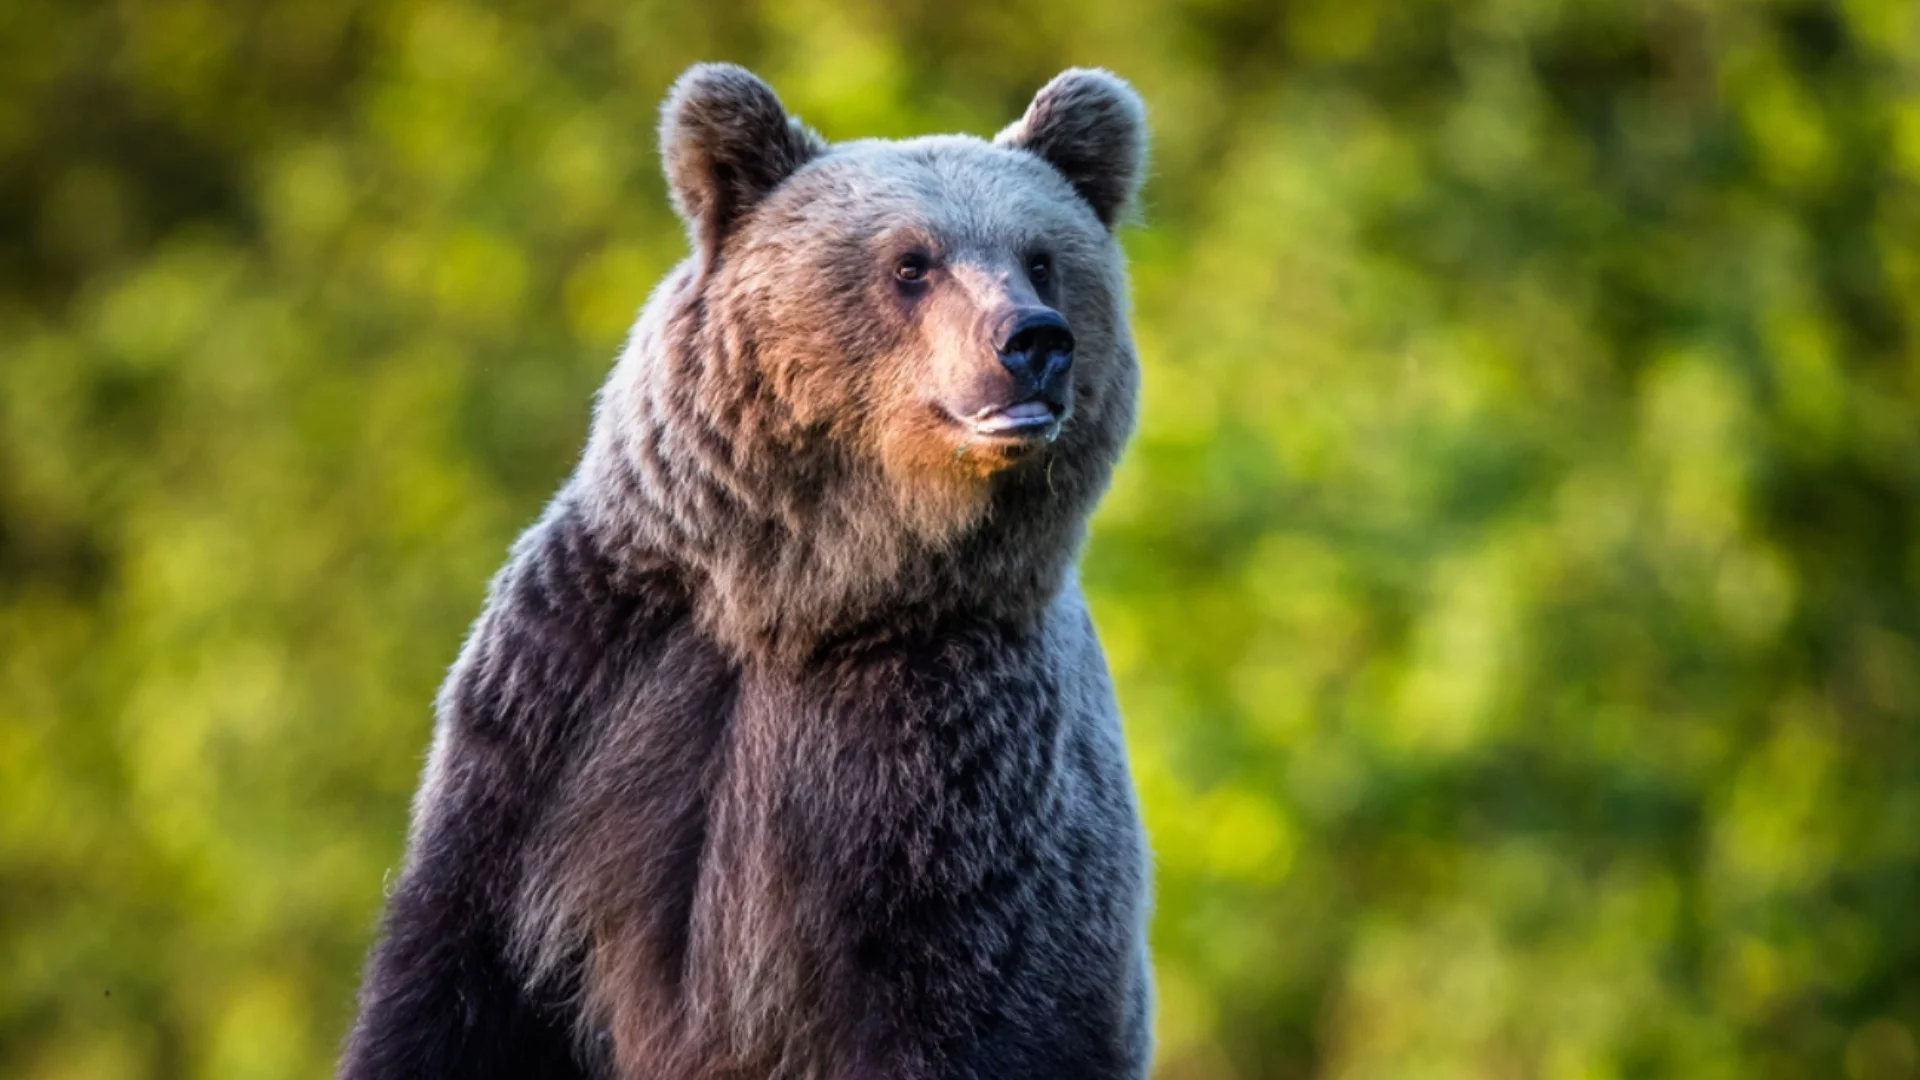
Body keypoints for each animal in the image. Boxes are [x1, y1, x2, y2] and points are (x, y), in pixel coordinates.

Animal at [339, 61, 1152, 1076]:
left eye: (1042, 257)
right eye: (911, 263)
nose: (1034, 340)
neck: (801, 591)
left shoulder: (951, 769)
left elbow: (963, 1000)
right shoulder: (568, 704)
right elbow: (455, 977)